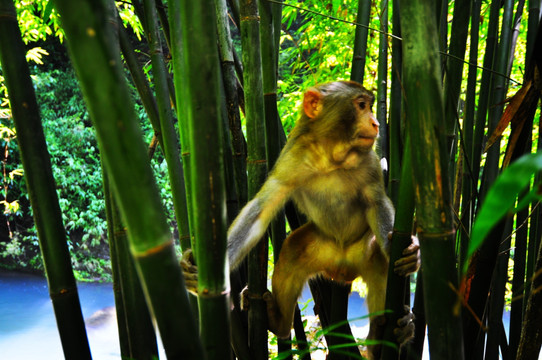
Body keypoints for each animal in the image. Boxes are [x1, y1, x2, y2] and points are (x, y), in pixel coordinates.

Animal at [183, 80, 420, 358]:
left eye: (370, 107)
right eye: (361, 106)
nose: (375, 123)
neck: (332, 156)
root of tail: (341, 268)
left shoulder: (370, 163)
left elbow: (377, 204)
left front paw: (410, 252)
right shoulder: (291, 159)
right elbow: (261, 209)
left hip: (360, 252)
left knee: (380, 261)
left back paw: (382, 338)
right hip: (321, 248)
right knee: (293, 250)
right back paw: (277, 320)